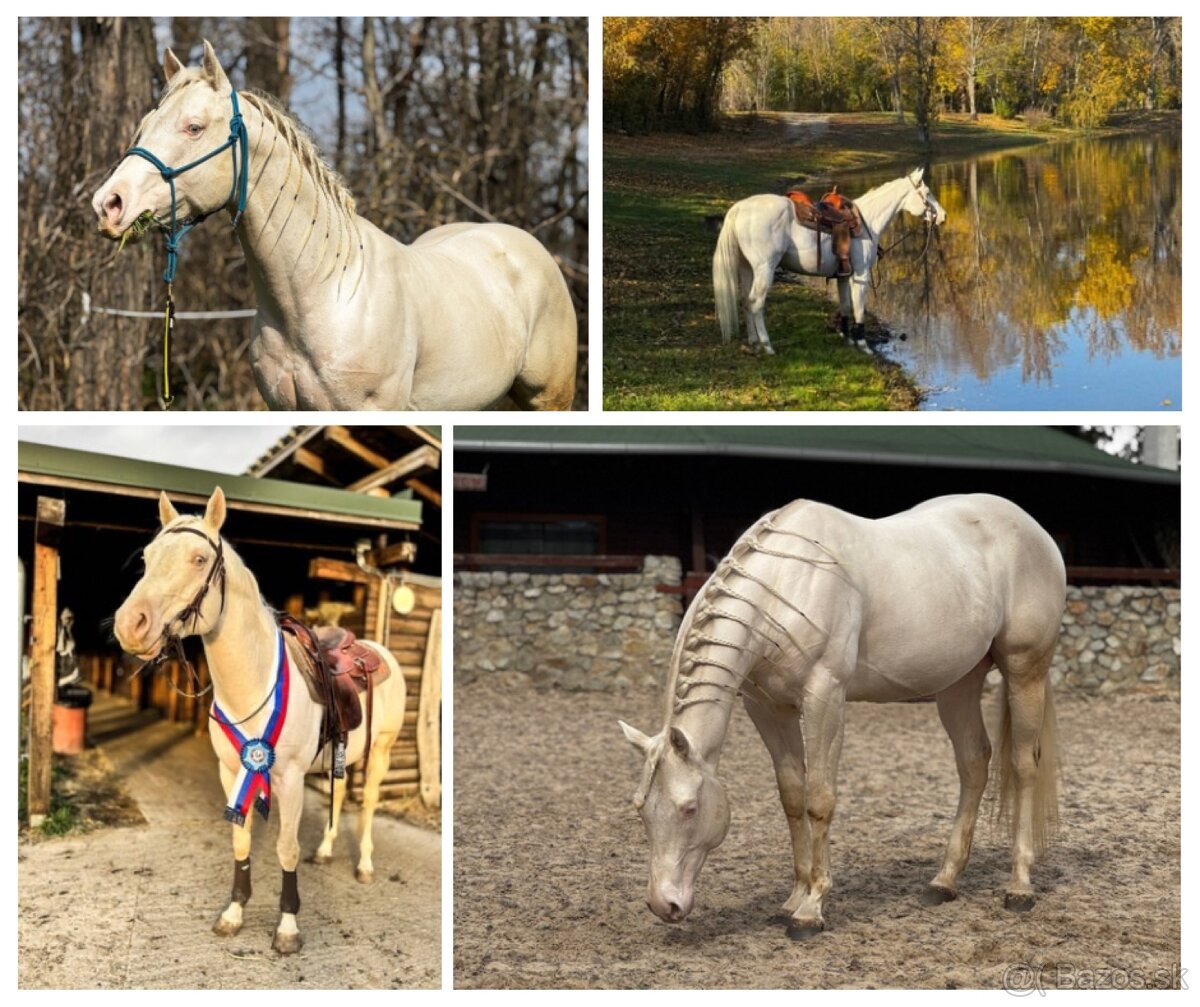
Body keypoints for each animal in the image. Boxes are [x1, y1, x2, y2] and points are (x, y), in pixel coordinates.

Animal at [113, 488, 407, 953]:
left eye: (199, 558)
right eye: (147, 557)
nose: (130, 625)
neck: (252, 684)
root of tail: (378, 651)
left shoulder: (289, 777)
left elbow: (286, 847)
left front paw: (287, 927)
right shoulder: (232, 771)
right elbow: (241, 840)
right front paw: (233, 914)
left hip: (382, 750)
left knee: (369, 802)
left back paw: (363, 864)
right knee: (342, 795)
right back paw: (326, 851)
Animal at [619, 494, 1063, 939]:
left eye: (689, 808)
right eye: (641, 809)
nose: (664, 905)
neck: (783, 588)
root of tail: (1034, 530)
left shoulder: (825, 698)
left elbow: (819, 799)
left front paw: (811, 909)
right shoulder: (768, 709)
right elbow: (792, 796)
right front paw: (793, 898)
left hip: (1025, 671)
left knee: (1023, 766)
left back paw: (1019, 887)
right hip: (959, 684)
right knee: (973, 763)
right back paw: (943, 882)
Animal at [712, 168, 946, 354]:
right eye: (927, 193)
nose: (943, 217)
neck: (868, 220)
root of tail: (740, 208)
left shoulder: (843, 275)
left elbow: (845, 306)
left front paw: (847, 338)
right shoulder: (860, 275)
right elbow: (859, 308)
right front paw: (862, 344)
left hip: (747, 268)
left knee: (745, 301)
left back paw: (753, 341)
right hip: (764, 269)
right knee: (755, 303)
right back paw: (767, 345)